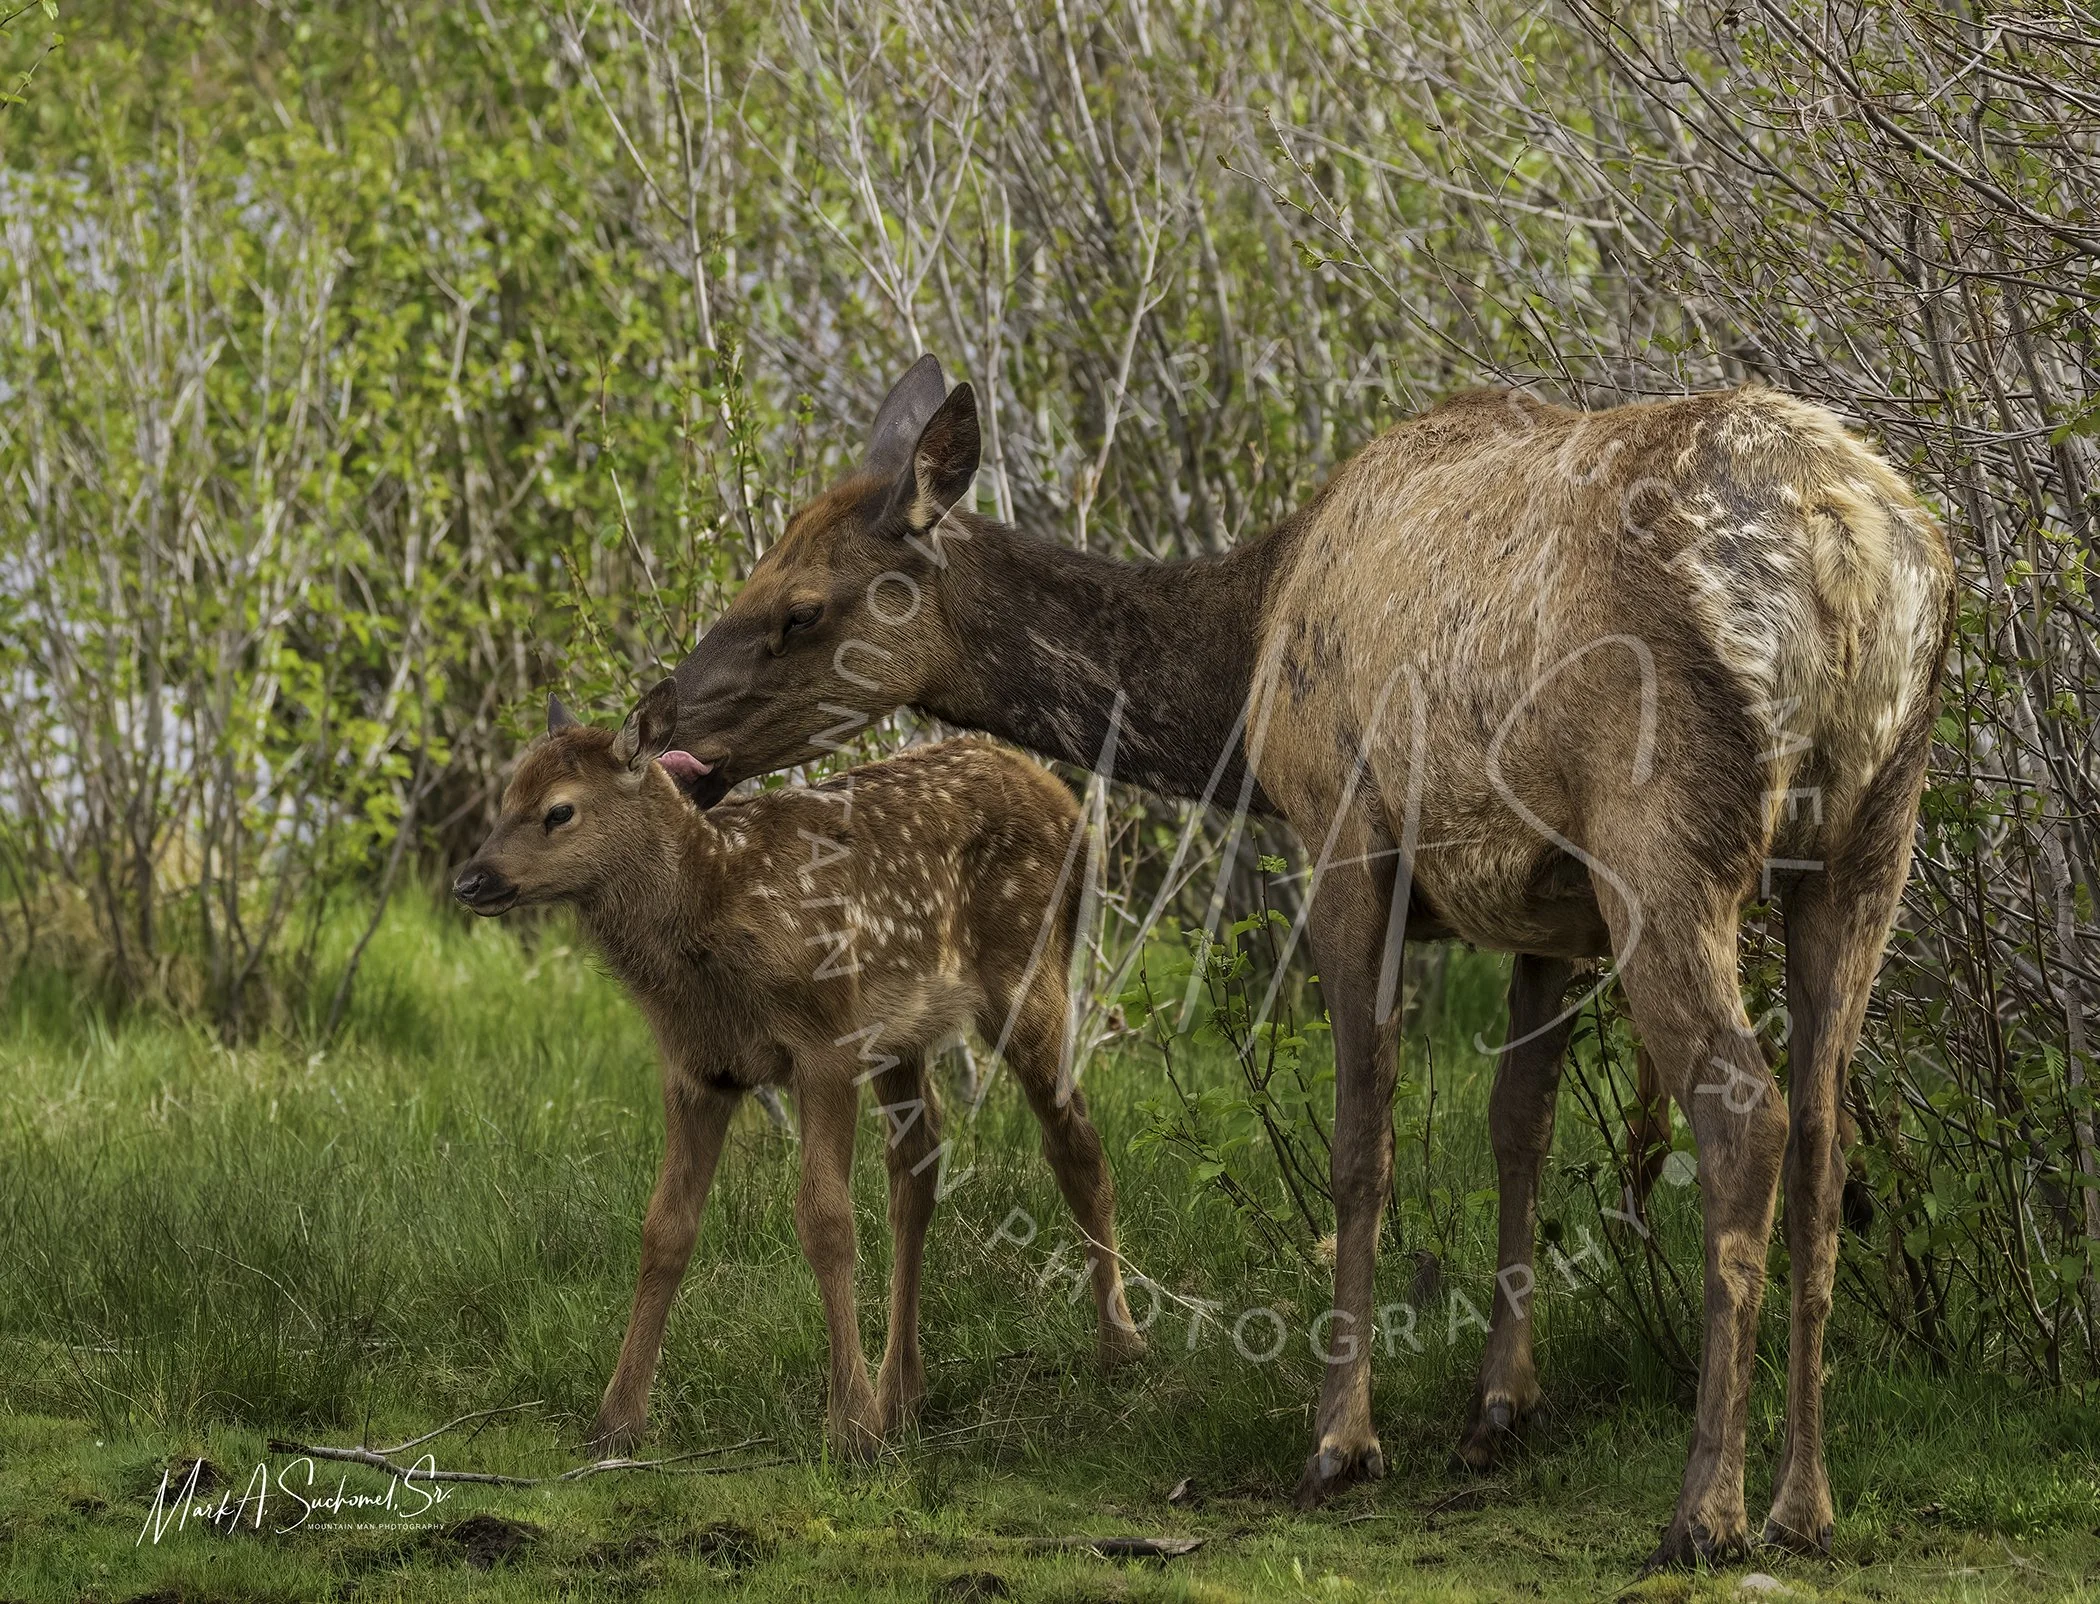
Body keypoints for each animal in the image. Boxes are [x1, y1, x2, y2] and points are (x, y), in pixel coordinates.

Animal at [450, 681, 1145, 1458]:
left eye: (559, 810)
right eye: (507, 795)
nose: (471, 880)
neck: (714, 919)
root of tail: (1064, 800)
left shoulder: (826, 1043)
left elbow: (825, 1221)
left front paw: (850, 1429)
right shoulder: (696, 1071)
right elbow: (665, 1229)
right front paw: (617, 1423)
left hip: (1027, 967)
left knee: (1073, 1136)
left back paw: (1121, 1346)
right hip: (903, 1031)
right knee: (918, 1167)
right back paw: (903, 1391)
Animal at [645, 358, 1955, 1567]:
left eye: (800, 606)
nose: (656, 716)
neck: (1245, 667)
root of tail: (1846, 559)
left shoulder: (1345, 831)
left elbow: (1361, 1143)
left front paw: (1341, 1436)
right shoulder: (1543, 908)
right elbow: (1516, 1123)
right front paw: (1498, 1404)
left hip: (1664, 832)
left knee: (1745, 1110)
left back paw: (1706, 1509)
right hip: (1872, 835)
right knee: (1826, 1122)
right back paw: (1804, 1499)